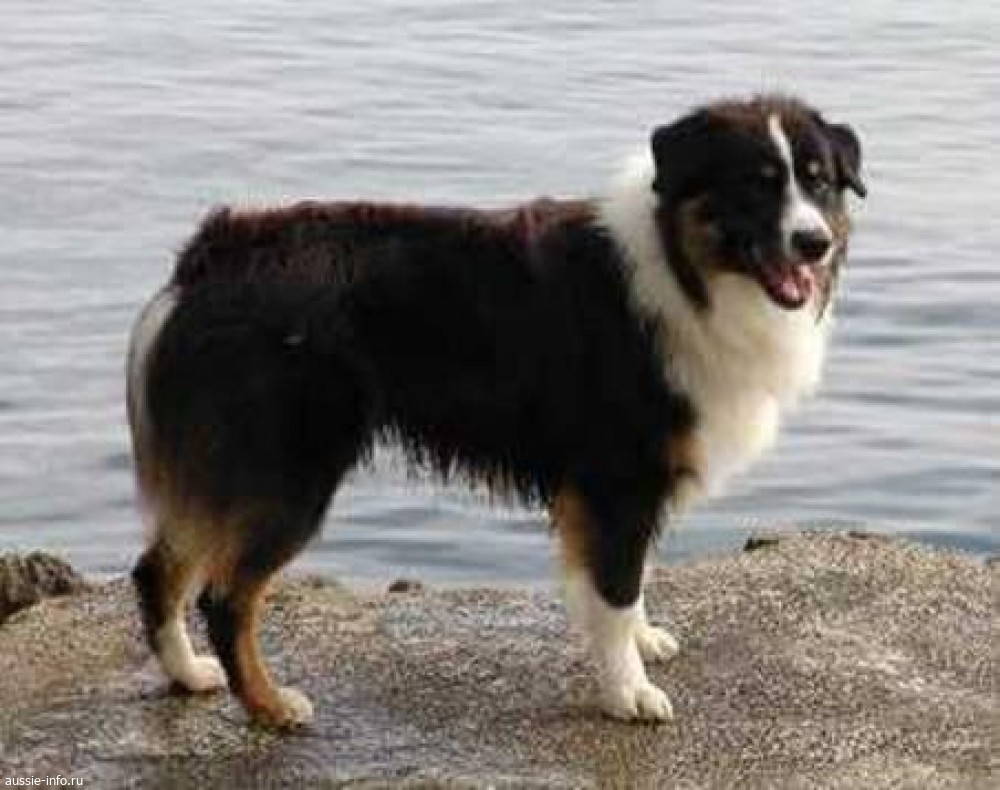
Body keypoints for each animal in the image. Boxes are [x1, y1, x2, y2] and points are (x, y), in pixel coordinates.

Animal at [127, 94, 865, 728]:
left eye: (821, 183)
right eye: (754, 185)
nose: (814, 243)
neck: (687, 271)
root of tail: (210, 255)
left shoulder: (621, 486)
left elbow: (626, 577)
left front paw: (640, 639)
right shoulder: (619, 475)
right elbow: (617, 584)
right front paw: (628, 692)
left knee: (158, 568)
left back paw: (189, 674)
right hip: (286, 474)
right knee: (225, 597)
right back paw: (269, 705)